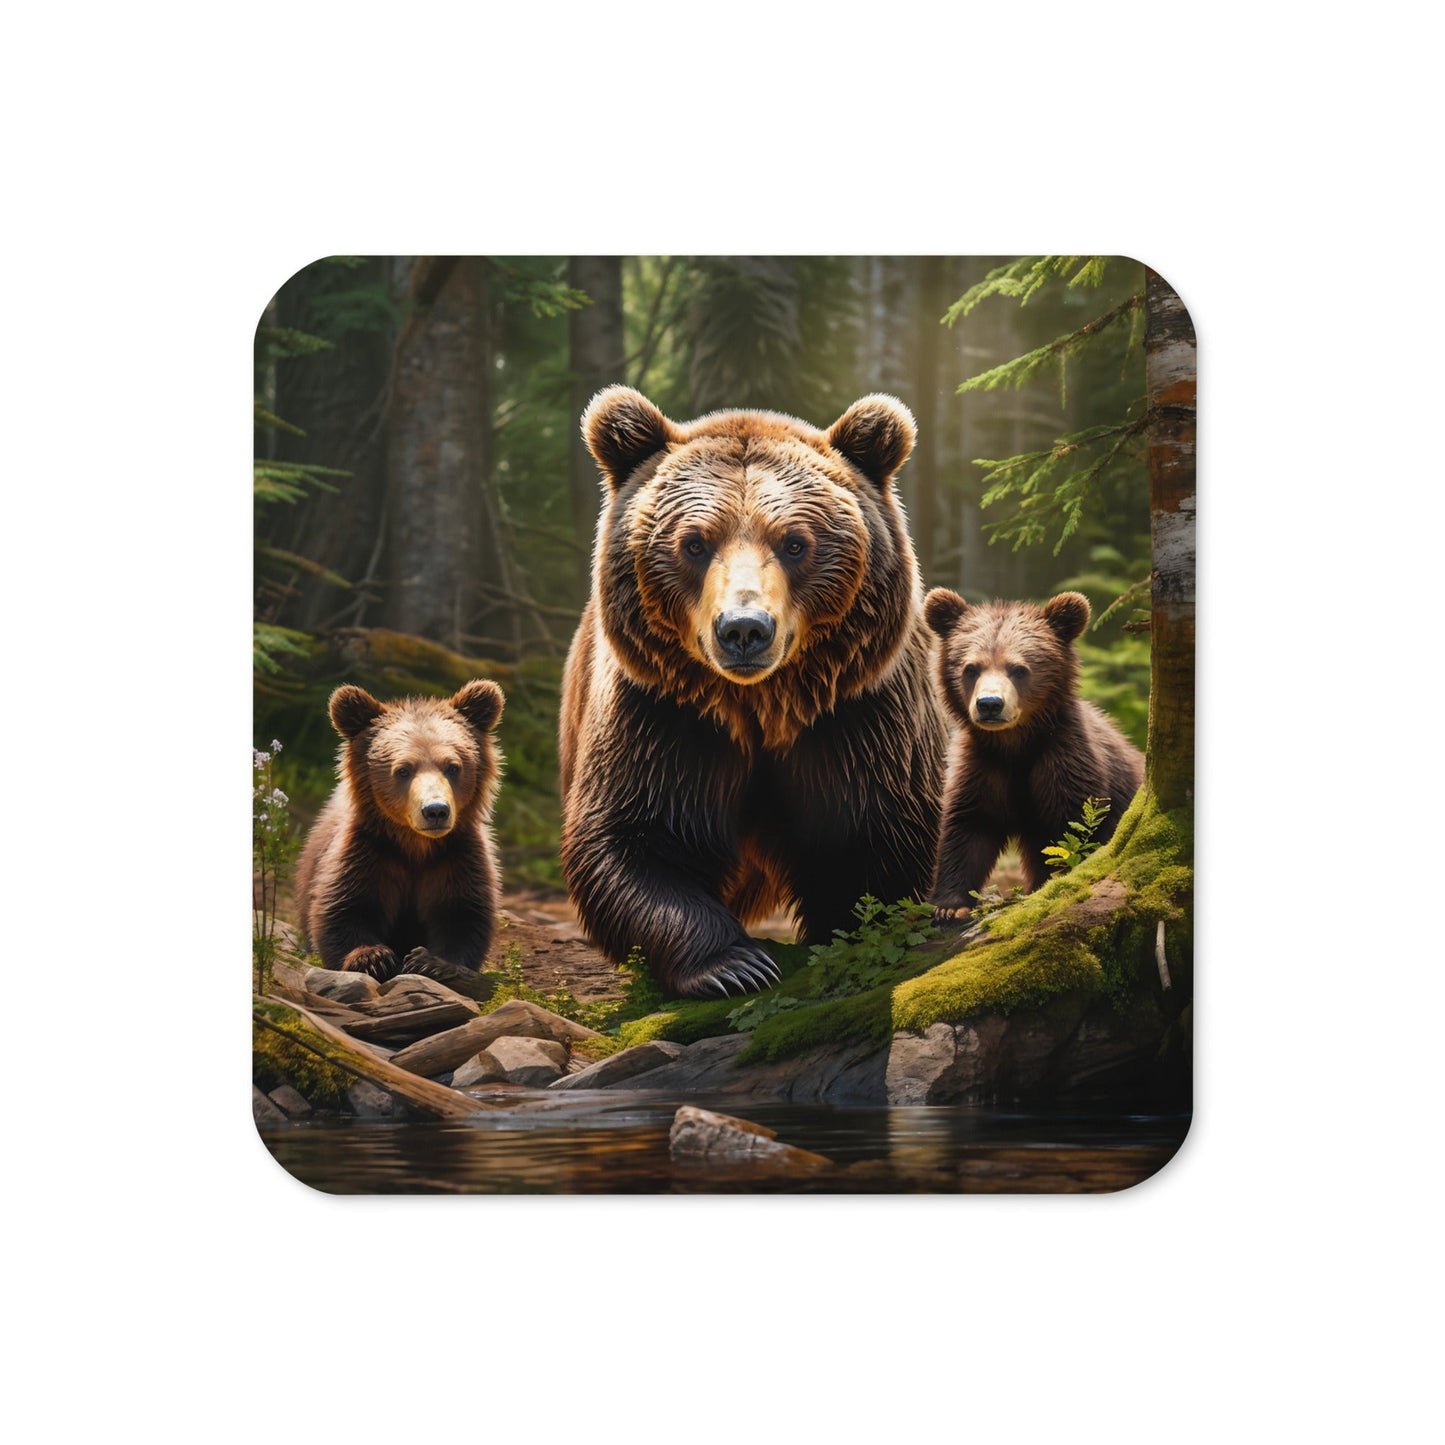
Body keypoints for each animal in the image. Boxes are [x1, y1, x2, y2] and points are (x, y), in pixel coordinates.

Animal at [294, 679, 506, 981]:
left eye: (453, 766)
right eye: (403, 770)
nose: (435, 810)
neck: (415, 845)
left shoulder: (456, 856)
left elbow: (463, 914)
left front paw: (431, 961)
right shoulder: (368, 851)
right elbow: (344, 908)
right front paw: (373, 957)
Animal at [559, 384, 949, 1000]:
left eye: (794, 542)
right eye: (695, 543)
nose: (744, 629)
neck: (762, 705)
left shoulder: (858, 715)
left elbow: (873, 838)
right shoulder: (662, 714)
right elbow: (631, 838)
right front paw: (735, 965)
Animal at [921, 588, 1144, 917]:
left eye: (1019, 669)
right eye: (970, 668)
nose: (990, 704)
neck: (1015, 743)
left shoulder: (1064, 760)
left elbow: (1074, 832)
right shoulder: (982, 765)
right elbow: (969, 828)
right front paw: (950, 906)